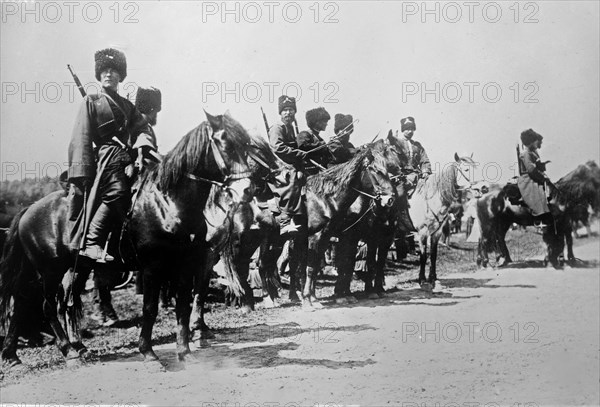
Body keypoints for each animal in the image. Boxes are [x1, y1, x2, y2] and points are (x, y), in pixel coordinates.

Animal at [0, 111, 264, 366]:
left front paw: (185, 352)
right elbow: (150, 308)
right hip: (49, 270)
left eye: (246, 144)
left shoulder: (185, 264)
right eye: (225, 143)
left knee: (38, 303)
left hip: (71, 268)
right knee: (45, 306)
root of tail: (28, 210)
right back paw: (67, 351)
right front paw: (148, 352)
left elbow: (183, 306)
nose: (247, 189)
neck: (168, 203)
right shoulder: (153, 267)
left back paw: (20, 355)